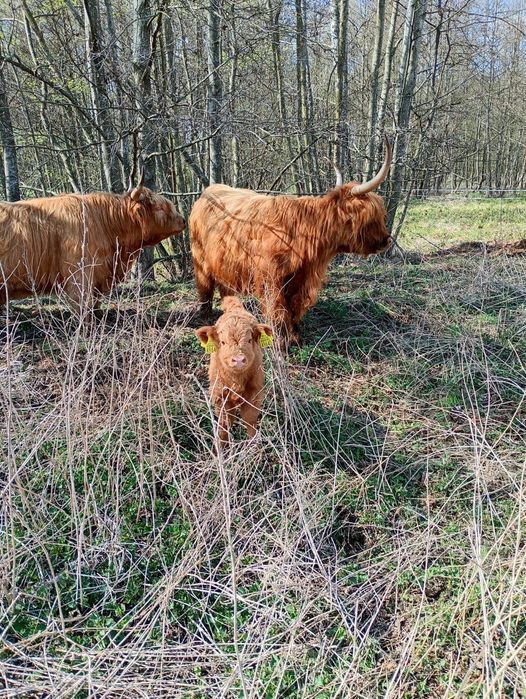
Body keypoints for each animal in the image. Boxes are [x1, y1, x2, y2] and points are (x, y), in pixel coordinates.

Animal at [189, 137, 392, 341]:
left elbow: (294, 306)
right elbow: (278, 309)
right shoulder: (271, 278)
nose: (387, 240)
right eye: (373, 218)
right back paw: (205, 316)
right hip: (200, 259)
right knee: (205, 287)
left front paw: (295, 336)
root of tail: (207, 191)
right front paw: (281, 340)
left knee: (224, 289)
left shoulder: (301, 278)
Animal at [196, 296, 273, 442]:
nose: (238, 360)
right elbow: (224, 424)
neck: (236, 381)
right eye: (223, 342)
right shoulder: (219, 394)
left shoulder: (255, 392)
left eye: (249, 340)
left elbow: (250, 420)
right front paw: (221, 446)